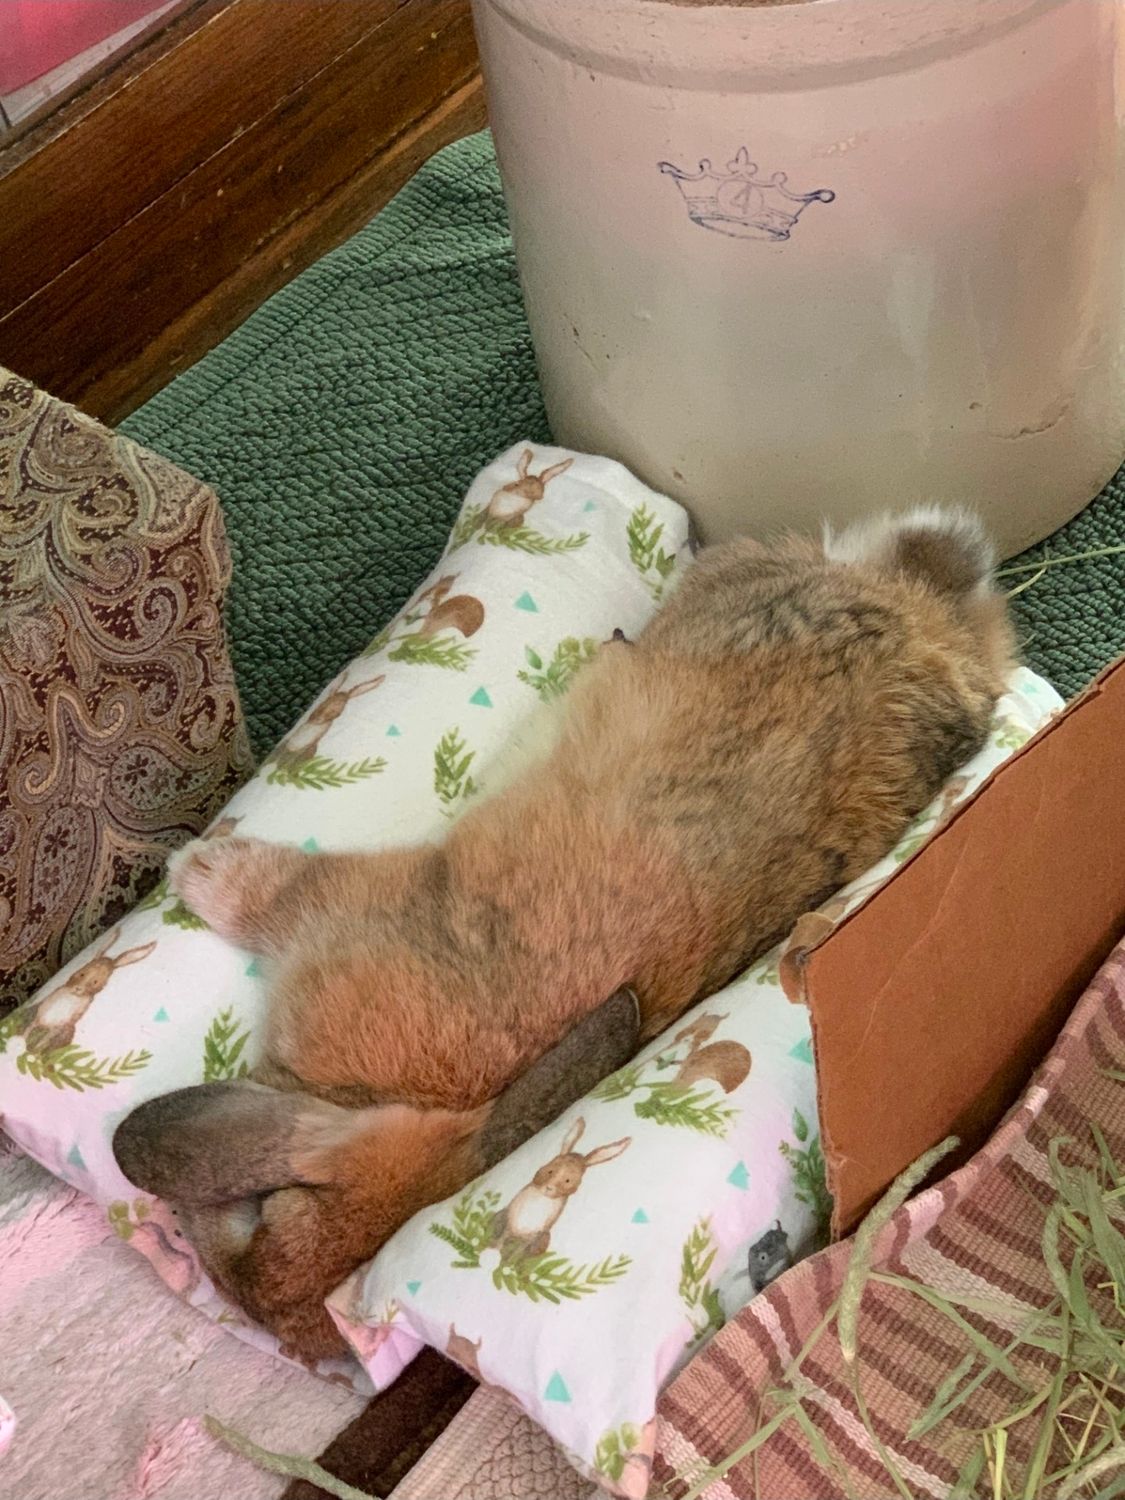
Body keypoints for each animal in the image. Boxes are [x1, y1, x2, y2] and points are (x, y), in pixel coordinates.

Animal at [15, 927, 157, 1054]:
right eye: (82, 973)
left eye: (95, 982)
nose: (78, 988)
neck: (72, 995)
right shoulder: (45, 1008)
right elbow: (31, 1028)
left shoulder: (66, 1022)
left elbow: (45, 1039)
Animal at [491, 1117, 630, 1258]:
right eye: (550, 1171)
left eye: (567, 1180)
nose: (549, 1187)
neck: (543, 1197)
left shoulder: (535, 1234)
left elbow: (518, 1251)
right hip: (505, 1217)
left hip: (540, 1237)